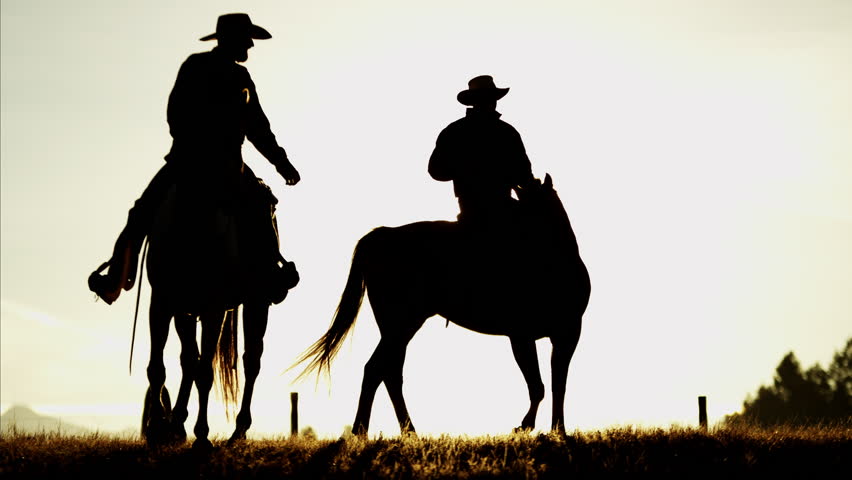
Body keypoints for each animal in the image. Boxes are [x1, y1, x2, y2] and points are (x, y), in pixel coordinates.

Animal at [296, 173, 588, 436]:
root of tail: (381, 236)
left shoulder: (567, 334)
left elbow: (558, 384)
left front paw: (558, 430)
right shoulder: (521, 336)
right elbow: (538, 386)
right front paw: (526, 426)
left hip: (398, 327)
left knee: (389, 372)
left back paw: (405, 432)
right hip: (402, 323)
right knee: (377, 369)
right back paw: (364, 431)